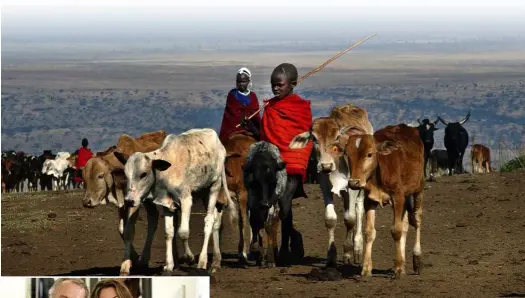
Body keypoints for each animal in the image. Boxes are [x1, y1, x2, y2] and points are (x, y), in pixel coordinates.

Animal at [288, 103, 370, 266]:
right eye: (314, 138)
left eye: (337, 137)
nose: (326, 166)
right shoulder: (324, 186)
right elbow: (330, 219)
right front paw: (331, 256)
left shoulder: (352, 187)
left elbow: (350, 219)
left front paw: (348, 253)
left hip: (362, 184)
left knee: (359, 209)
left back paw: (357, 247)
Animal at [334, 122, 424, 278]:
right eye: (347, 155)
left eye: (369, 154)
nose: (354, 183)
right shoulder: (370, 201)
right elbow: (370, 232)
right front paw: (366, 268)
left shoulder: (398, 197)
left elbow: (396, 230)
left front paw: (398, 268)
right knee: (406, 224)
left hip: (418, 189)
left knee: (416, 220)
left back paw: (417, 259)